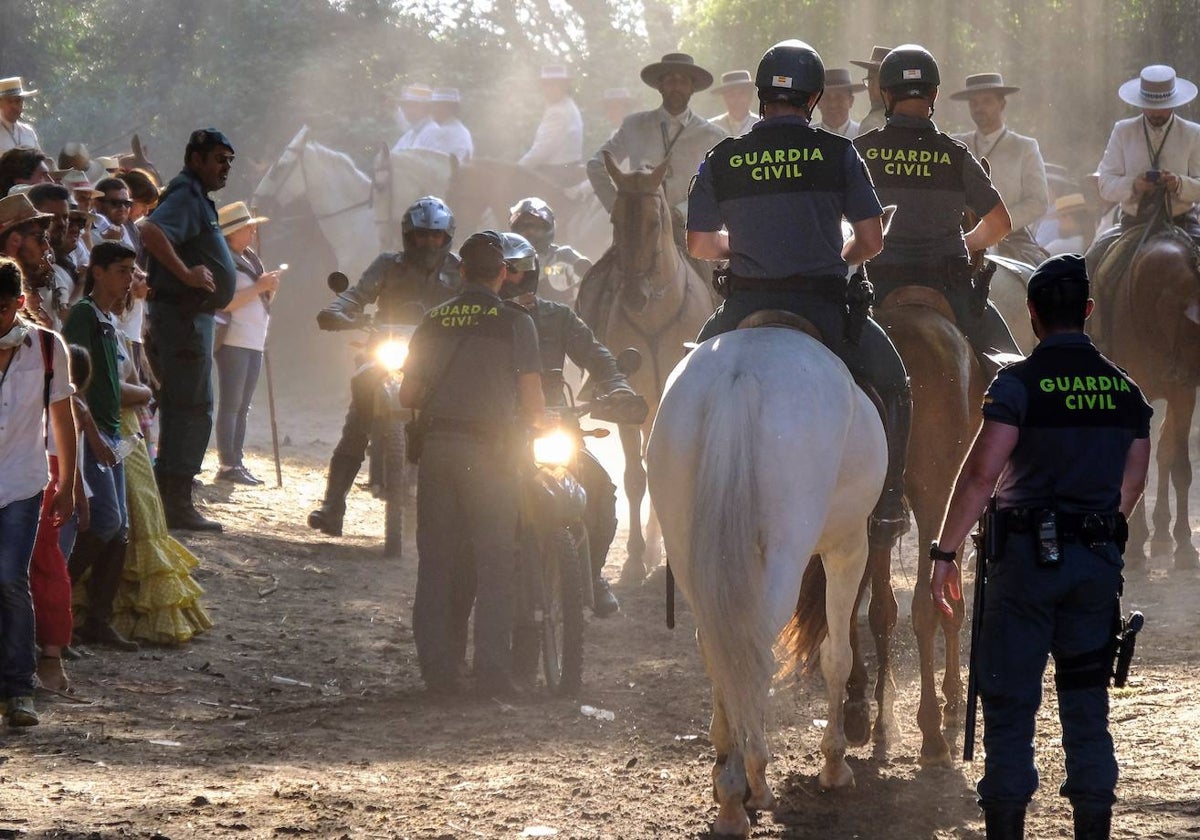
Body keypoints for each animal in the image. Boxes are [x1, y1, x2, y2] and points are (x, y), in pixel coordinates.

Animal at [588, 154, 710, 580]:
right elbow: (634, 477)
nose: (634, 296)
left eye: (655, 223)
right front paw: (636, 558)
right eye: (614, 220)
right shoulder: (629, 403)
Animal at [648, 324, 892, 835]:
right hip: (787, 552)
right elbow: (837, 655)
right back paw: (751, 781)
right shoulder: (848, 547)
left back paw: (730, 776)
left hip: (686, 548)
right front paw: (835, 763)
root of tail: (739, 374)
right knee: (755, 645)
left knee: (718, 644)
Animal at [1099, 219, 1200, 568]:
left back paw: (1162, 534)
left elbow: (1179, 465)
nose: (1181, 368)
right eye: (1166, 310)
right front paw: (1135, 544)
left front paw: (1183, 543)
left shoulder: (1184, 394)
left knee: (1165, 450)